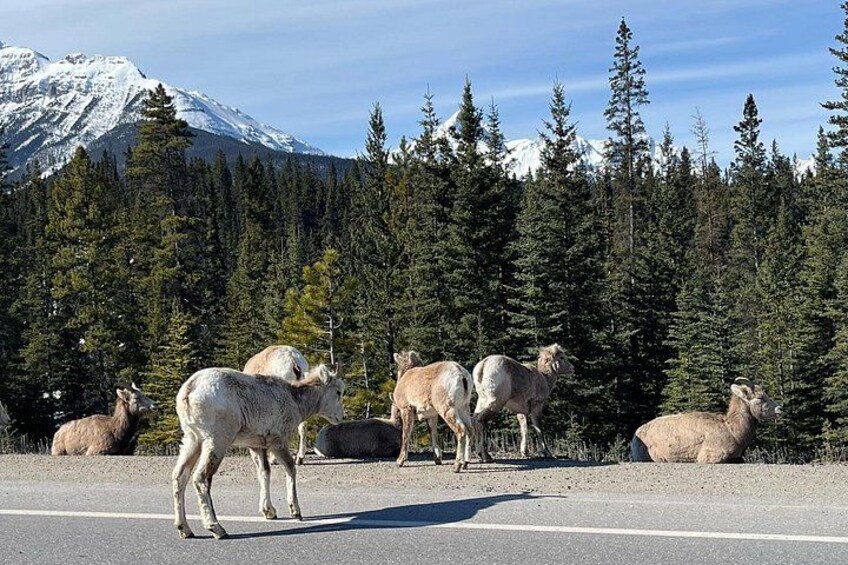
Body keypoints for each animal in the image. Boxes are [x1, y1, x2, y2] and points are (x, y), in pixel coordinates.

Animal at [172, 364, 344, 540]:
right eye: (338, 392)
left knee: (179, 476)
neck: (295, 400)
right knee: (201, 478)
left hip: (192, 440)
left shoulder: (257, 446)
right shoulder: (278, 442)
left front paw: (269, 512)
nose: (341, 417)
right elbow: (290, 469)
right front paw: (295, 512)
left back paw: (184, 529)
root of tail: (189, 390)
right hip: (216, 440)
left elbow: (264, 472)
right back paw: (217, 529)